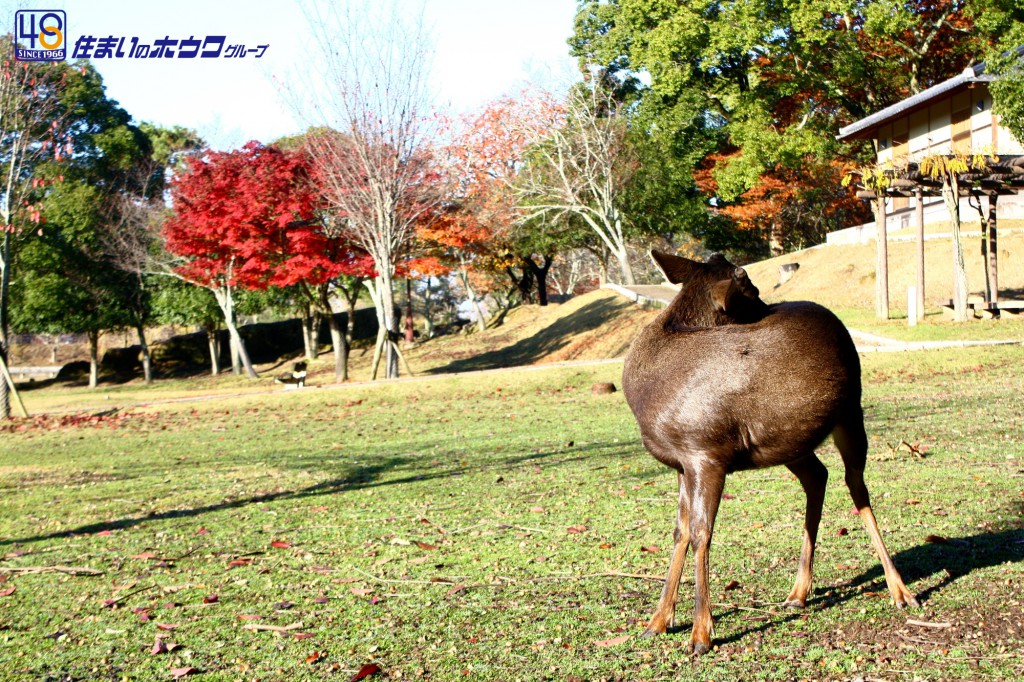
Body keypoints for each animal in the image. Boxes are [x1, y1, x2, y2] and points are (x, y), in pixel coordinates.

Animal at [622, 250, 921, 655]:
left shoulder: (707, 452)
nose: (769, 306)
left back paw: (900, 591)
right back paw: (798, 593)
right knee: (818, 476)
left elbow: (702, 533)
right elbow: (680, 531)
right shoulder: (681, 464)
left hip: (850, 412)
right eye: (752, 289)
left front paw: (701, 635)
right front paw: (657, 622)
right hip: (791, 442)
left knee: (857, 487)